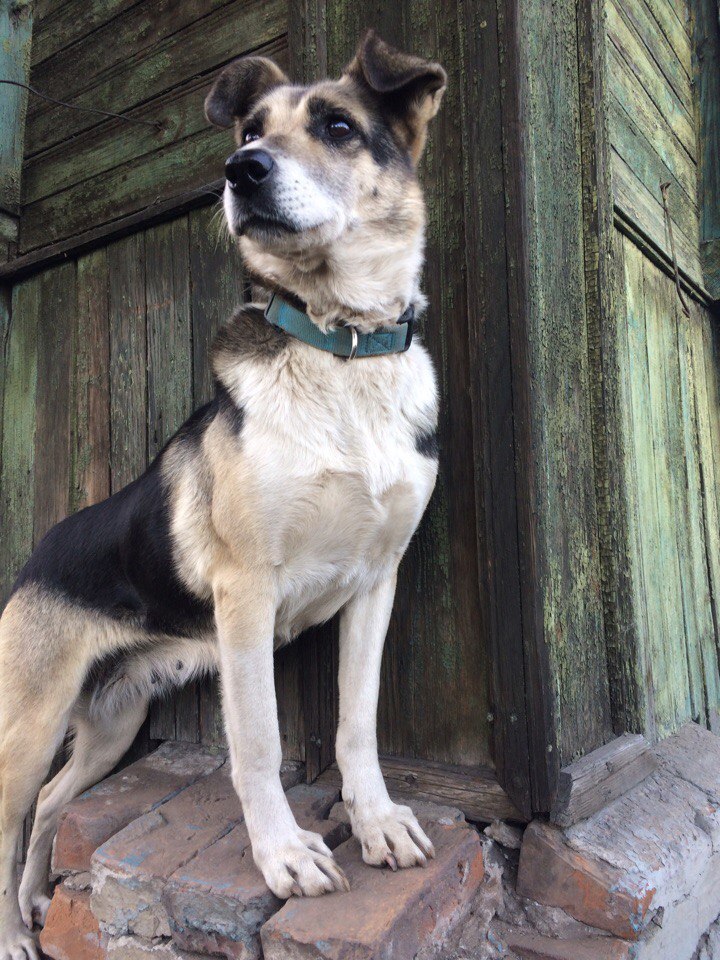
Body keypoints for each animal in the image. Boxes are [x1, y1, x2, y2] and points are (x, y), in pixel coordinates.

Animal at [0, 30, 444, 960]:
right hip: (29, 724)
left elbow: (357, 722)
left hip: (111, 725)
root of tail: (36, 553)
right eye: (248, 130)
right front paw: (284, 857)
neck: (340, 349)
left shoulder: (377, 583)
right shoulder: (246, 599)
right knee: (9, 815)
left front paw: (377, 822)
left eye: (339, 126)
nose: (242, 170)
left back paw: (34, 898)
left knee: (53, 803)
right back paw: (14, 932)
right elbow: (259, 742)